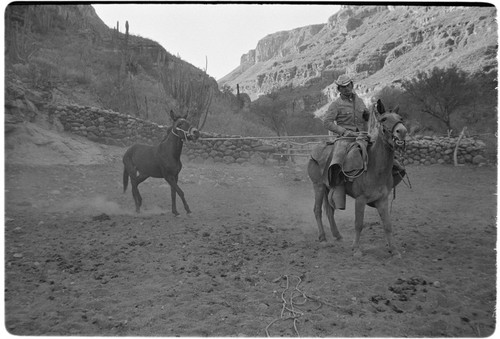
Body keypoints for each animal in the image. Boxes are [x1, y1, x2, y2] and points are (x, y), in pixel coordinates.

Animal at [306, 100, 408, 258]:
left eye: (400, 118)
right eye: (384, 119)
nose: (402, 131)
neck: (374, 168)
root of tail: (314, 152)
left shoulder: (382, 199)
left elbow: (387, 225)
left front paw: (394, 250)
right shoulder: (360, 199)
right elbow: (358, 224)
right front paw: (356, 249)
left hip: (328, 187)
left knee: (329, 211)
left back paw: (337, 235)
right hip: (318, 186)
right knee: (317, 210)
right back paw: (323, 238)